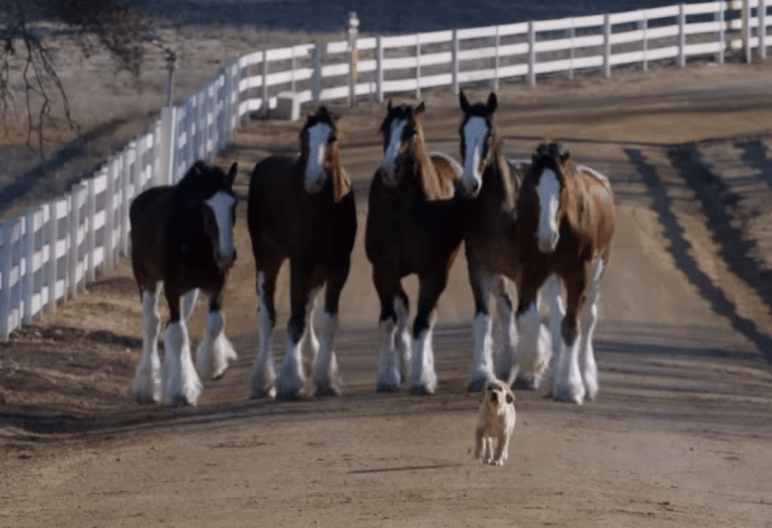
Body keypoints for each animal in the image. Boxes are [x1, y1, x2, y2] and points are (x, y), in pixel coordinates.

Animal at [130, 160, 239, 407]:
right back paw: (148, 386)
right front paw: (182, 390)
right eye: (207, 207)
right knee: (152, 323)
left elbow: (215, 323)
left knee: (179, 322)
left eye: (233, 204)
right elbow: (176, 333)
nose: (226, 255)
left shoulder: (216, 284)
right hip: (147, 280)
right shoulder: (172, 289)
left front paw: (214, 367)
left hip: (190, 291)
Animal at [247, 106, 357, 401]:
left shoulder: (338, 267)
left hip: (317, 271)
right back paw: (262, 380)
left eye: (333, 138)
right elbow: (294, 319)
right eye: (303, 138)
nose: (313, 180)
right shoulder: (301, 264)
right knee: (267, 315)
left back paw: (309, 361)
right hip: (267, 258)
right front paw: (288, 380)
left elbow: (327, 319)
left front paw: (327, 378)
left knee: (307, 309)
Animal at [365, 101, 467, 394]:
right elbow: (389, 320)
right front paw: (387, 376)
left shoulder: (433, 273)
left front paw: (423, 379)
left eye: (412, 131)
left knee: (426, 317)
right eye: (384, 128)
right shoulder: (383, 271)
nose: (389, 171)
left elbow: (423, 322)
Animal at [458, 91, 560, 391]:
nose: (470, 184)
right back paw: (506, 363)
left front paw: (531, 371)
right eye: (461, 132)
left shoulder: (528, 273)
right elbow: (484, 319)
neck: (502, 211)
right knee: (505, 309)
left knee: (556, 312)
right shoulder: (480, 270)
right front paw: (482, 372)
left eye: (489, 133)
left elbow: (530, 318)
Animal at [515, 142, 615, 404]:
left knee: (588, 317)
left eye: (563, 188)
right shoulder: (530, 269)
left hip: (597, 267)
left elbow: (571, 327)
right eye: (533, 186)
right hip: (552, 276)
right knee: (558, 314)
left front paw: (571, 387)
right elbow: (529, 319)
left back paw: (586, 380)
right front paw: (533, 364)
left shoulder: (578, 273)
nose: (546, 237)